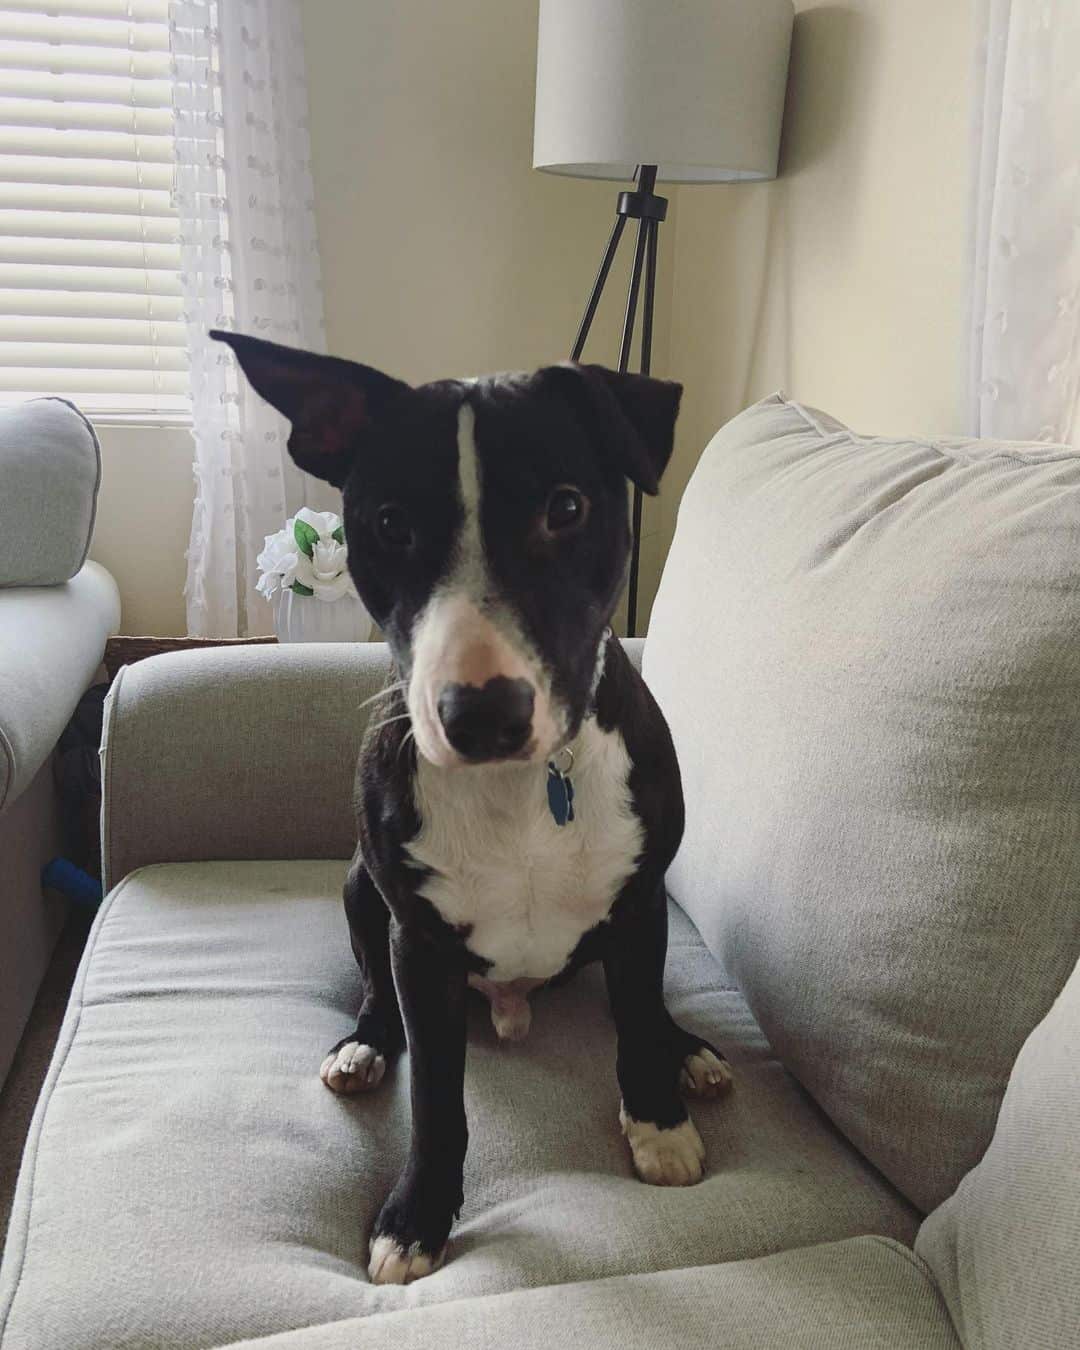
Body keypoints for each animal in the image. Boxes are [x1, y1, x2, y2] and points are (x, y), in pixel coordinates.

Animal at [214, 329, 729, 1285]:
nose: (481, 713)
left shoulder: (642, 901)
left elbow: (638, 1014)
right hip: (359, 889)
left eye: (566, 506)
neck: (525, 787)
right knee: (374, 989)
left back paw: (692, 1052)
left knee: (640, 1000)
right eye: (389, 524)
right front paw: (416, 1215)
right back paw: (362, 1045)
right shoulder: (419, 943)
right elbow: (436, 1097)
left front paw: (659, 1121)